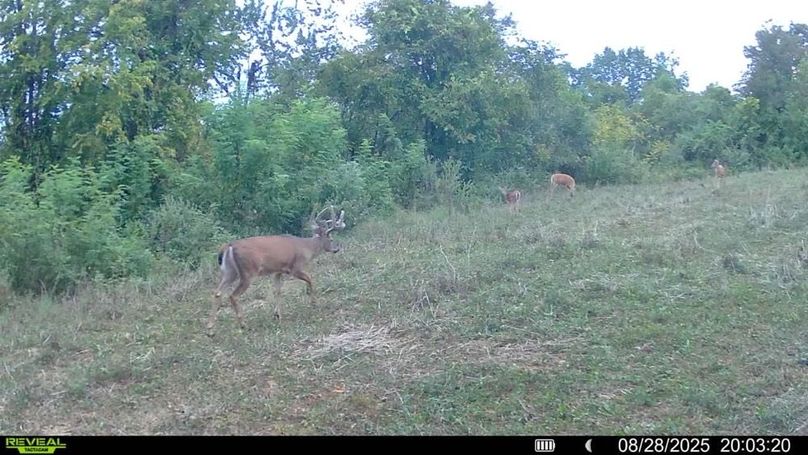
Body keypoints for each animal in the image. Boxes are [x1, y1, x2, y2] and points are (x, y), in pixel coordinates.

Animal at [207, 206, 346, 335]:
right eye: (331, 239)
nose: (336, 249)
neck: (306, 248)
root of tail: (228, 246)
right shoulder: (295, 267)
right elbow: (310, 279)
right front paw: (314, 303)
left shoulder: (277, 271)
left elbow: (277, 291)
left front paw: (277, 315)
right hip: (248, 272)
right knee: (233, 295)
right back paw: (243, 325)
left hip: (230, 272)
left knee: (217, 292)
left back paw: (210, 330)